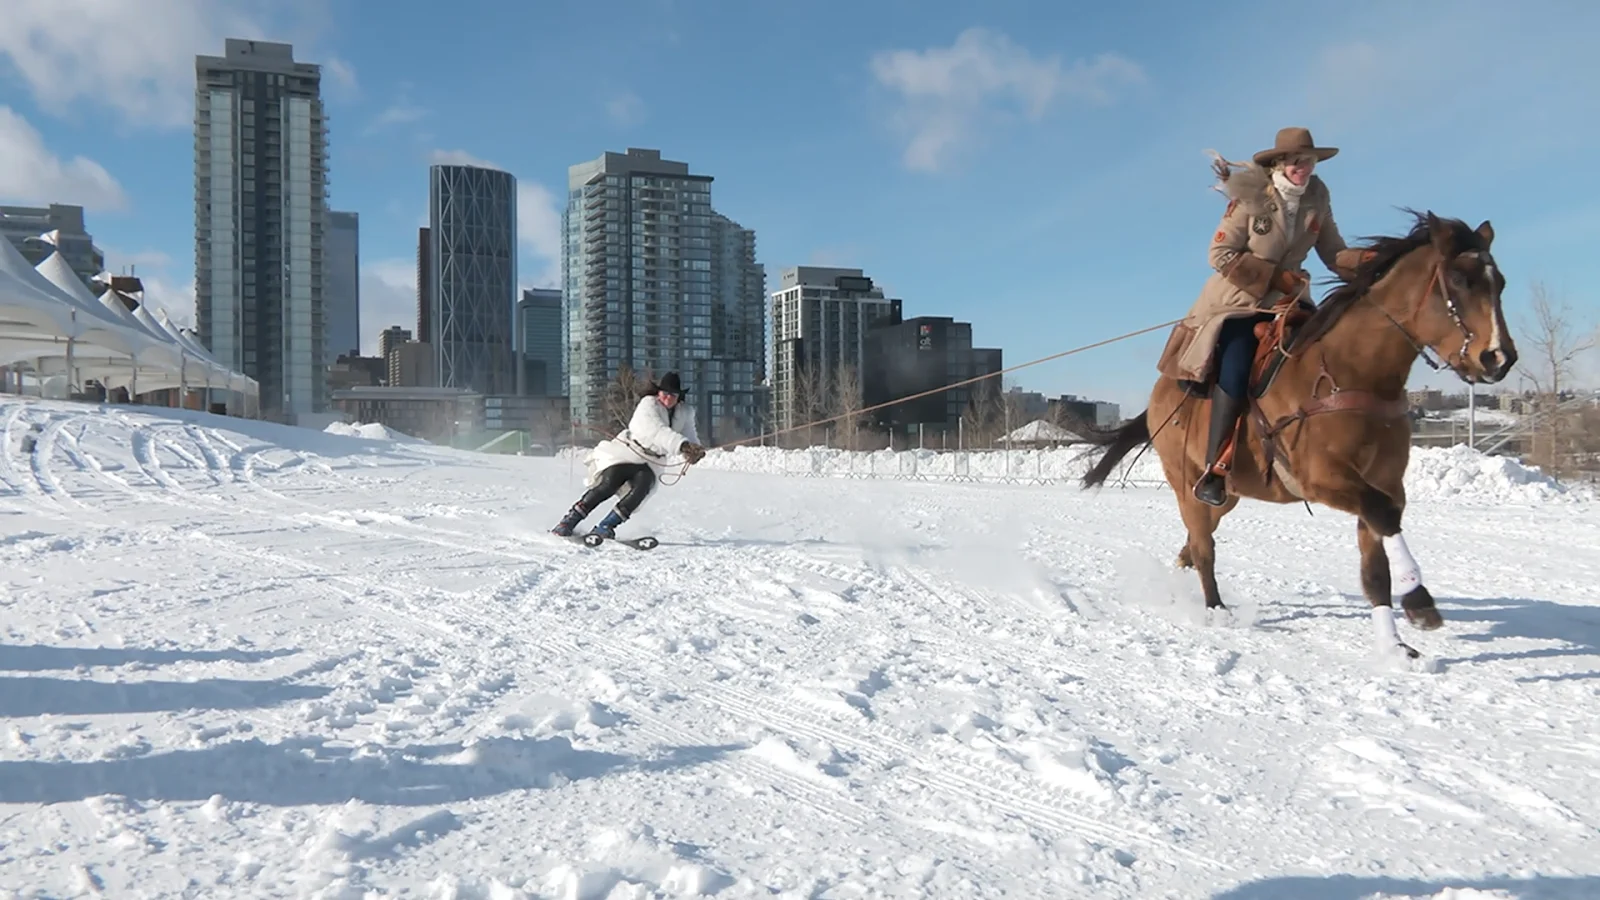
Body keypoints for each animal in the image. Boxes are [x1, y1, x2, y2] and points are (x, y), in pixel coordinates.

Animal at [1079, 211, 1517, 660]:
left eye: (1499, 282)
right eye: (1460, 279)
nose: (1499, 358)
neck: (1349, 373)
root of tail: (1159, 396)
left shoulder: (1385, 482)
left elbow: (1377, 563)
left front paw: (1394, 645)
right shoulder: (1322, 478)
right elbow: (1383, 516)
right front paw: (1419, 601)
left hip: (1225, 493)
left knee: (1199, 537)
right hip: (1185, 481)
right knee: (1204, 547)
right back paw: (1216, 607)